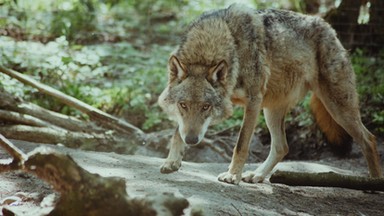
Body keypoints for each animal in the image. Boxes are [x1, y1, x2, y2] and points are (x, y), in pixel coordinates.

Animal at [158, 3, 382, 184]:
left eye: (206, 107)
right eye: (183, 105)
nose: (192, 140)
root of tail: (329, 27)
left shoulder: (253, 101)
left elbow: (241, 144)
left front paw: (232, 176)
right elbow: (177, 132)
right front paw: (172, 161)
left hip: (338, 108)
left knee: (369, 139)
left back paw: (373, 183)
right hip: (272, 111)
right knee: (282, 147)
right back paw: (257, 175)